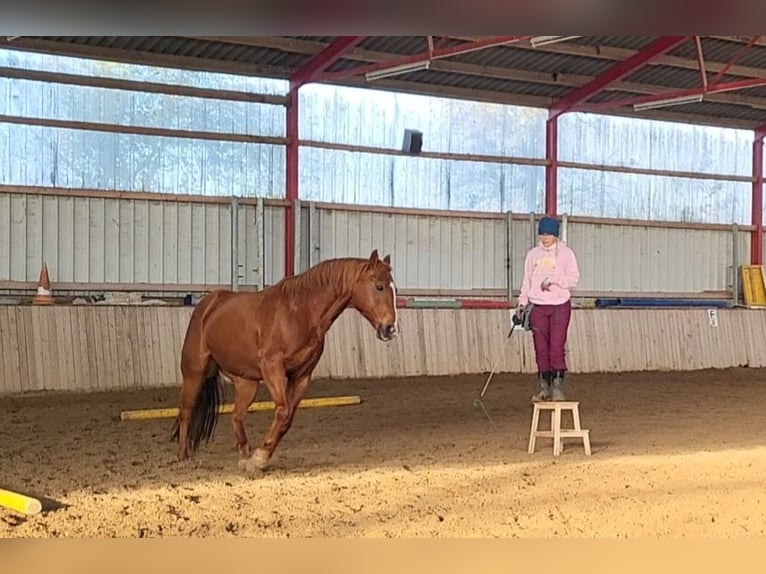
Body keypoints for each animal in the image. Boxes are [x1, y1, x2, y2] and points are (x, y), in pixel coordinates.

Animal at [170, 249, 400, 472]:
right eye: (379, 286)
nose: (390, 329)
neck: (299, 313)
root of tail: (208, 305)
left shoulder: (301, 377)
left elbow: (287, 418)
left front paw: (257, 459)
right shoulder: (273, 370)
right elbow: (283, 411)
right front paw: (260, 458)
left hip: (246, 383)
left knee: (236, 416)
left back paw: (244, 456)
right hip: (194, 372)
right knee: (186, 411)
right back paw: (183, 458)